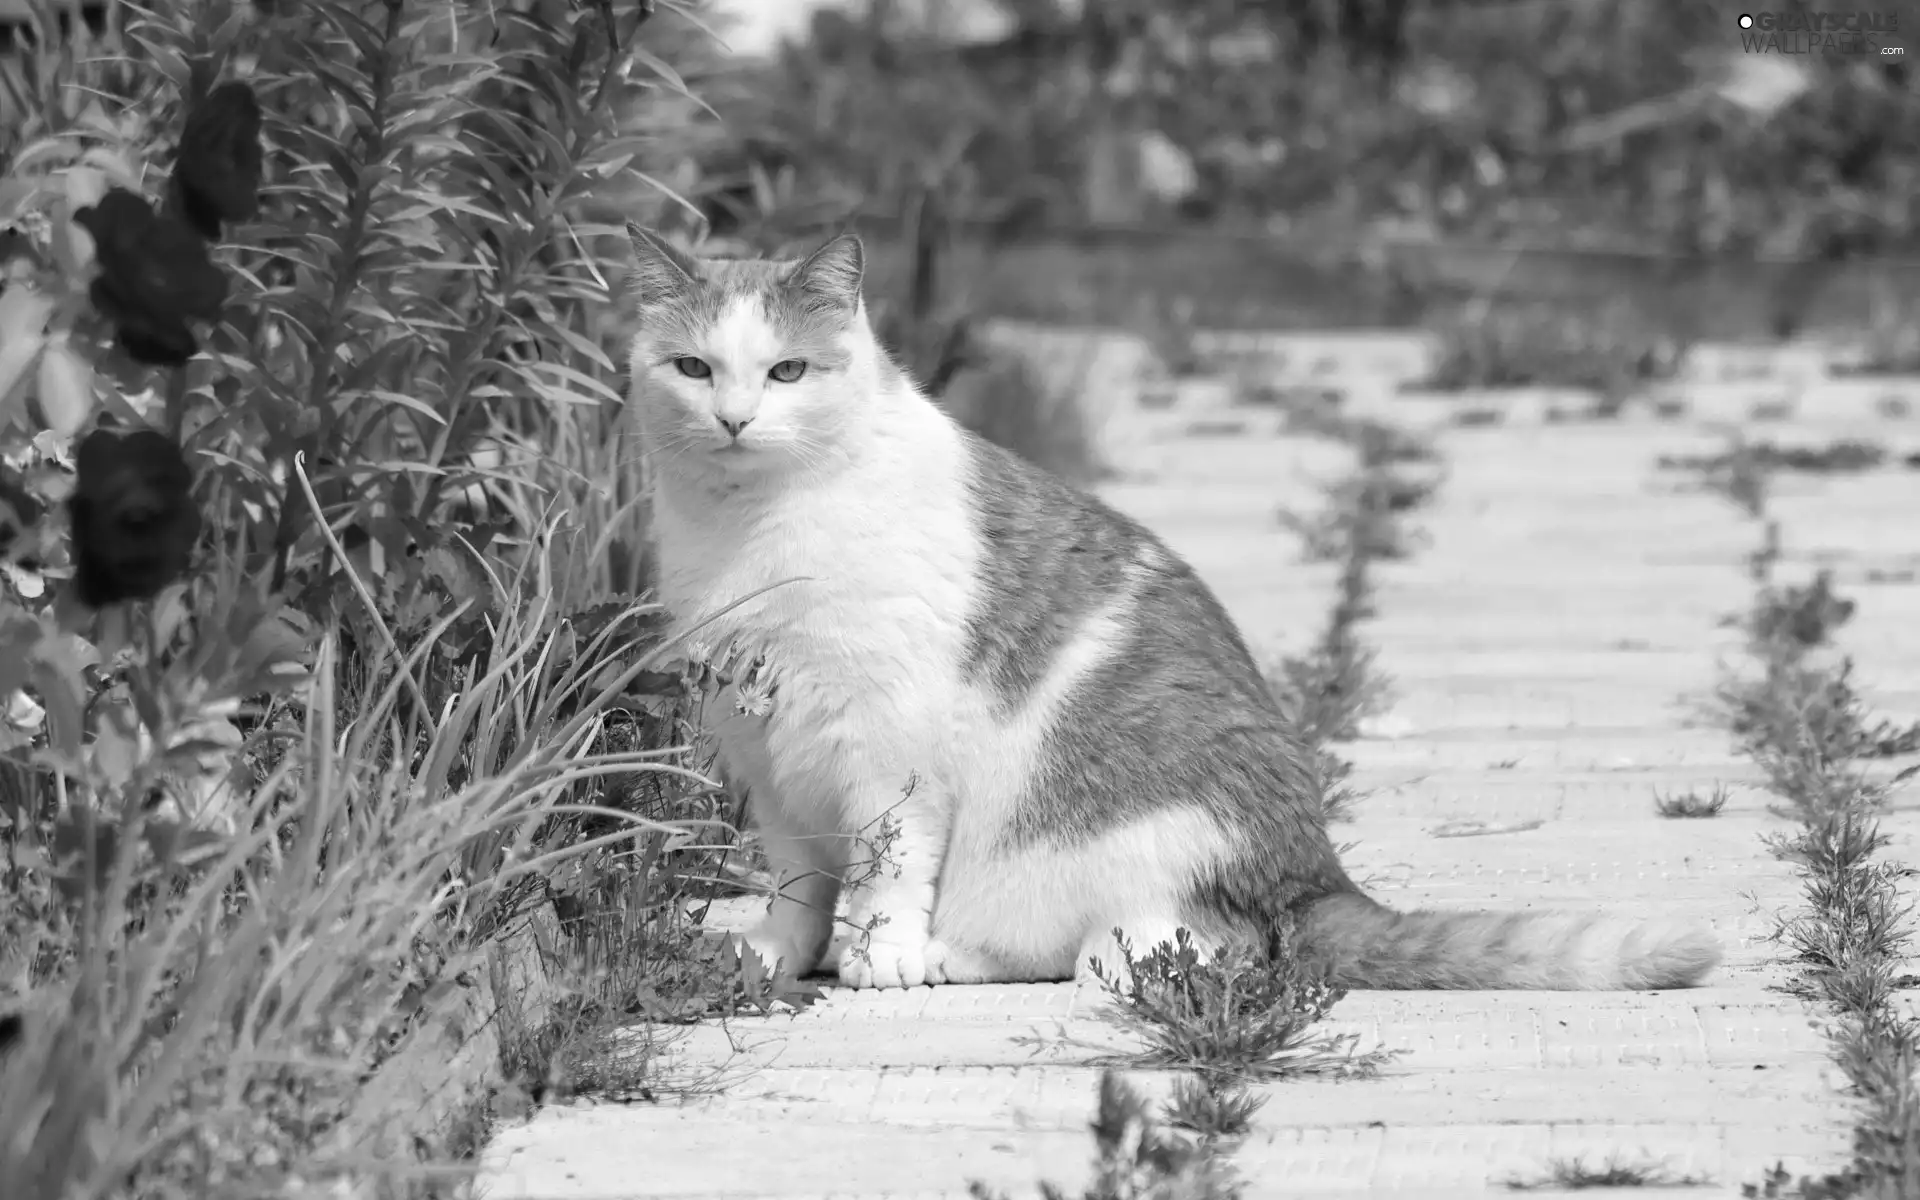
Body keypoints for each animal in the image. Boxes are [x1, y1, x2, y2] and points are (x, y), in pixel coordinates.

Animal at [625, 224, 1728, 990]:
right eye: (693, 368)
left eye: (788, 371)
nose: (734, 419)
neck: (752, 534)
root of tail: (1318, 875)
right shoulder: (767, 754)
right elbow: (795, 880)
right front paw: (779, 950)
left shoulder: (888, 748)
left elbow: (889, 867)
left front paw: (879, 950)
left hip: (1140, 837)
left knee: (1171, 949)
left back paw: (974, 955)